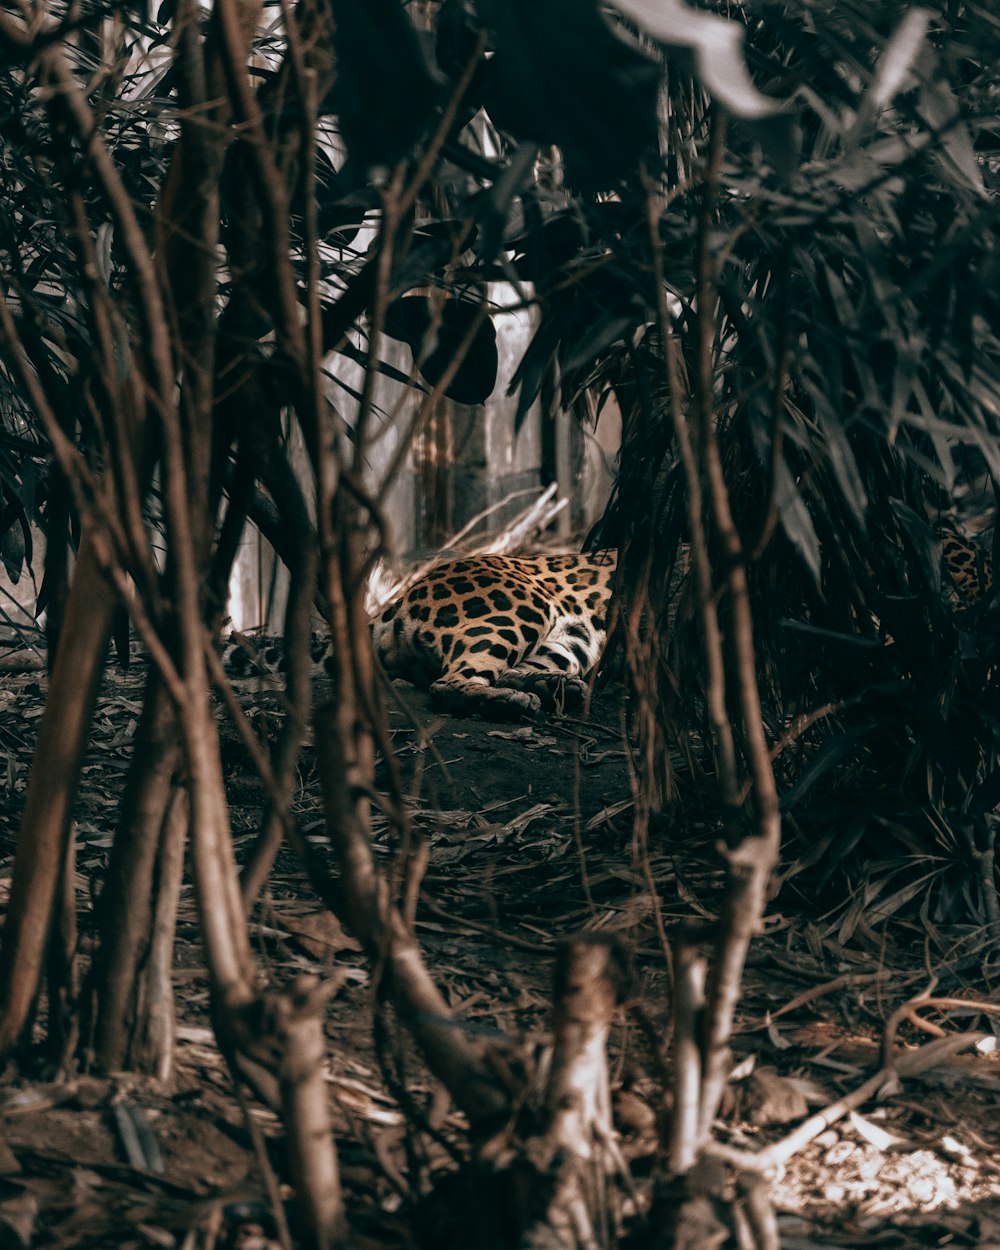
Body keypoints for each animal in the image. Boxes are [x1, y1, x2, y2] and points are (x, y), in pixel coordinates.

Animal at [370, 552, 612, 720]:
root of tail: (402, 598)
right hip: (523, 609)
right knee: (446, 684)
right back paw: (511, 700)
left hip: (572, 640)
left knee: (506, 672)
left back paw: (555, 686)